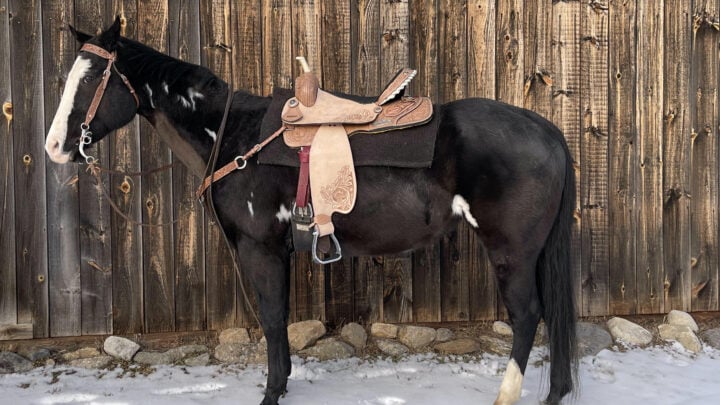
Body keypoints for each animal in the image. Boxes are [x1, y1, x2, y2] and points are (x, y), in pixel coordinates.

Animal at [45, 17, 577, 405]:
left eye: (91, 80)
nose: (54, 147)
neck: (233, 136)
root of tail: (546, 129)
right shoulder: (274, 251)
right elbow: (276, 319)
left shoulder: (260, 249)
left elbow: (272, 319)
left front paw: (271, 394)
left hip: (511, 251)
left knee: (528, 316)